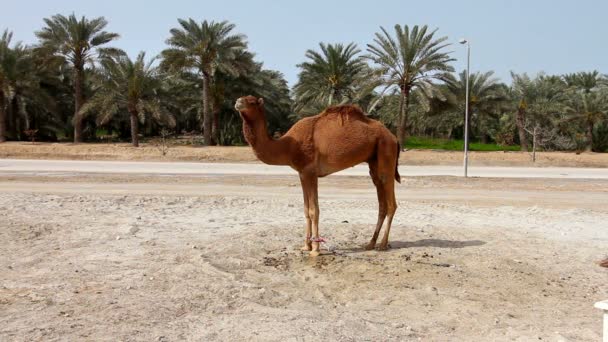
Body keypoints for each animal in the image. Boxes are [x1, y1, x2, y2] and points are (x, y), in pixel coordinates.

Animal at [235, 95, 402, 255]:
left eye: (252, 101)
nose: (238, 102)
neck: (288, 146)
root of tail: (394, 137)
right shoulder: (302, 174)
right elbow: (306, 210)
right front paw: (305, 246)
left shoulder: (311, 171)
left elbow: (314, 210)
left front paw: (315, 249)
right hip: (374, 160)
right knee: (381, 201)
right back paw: (371, 243)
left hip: (386, 149)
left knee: (391, 201)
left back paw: (382, 245)